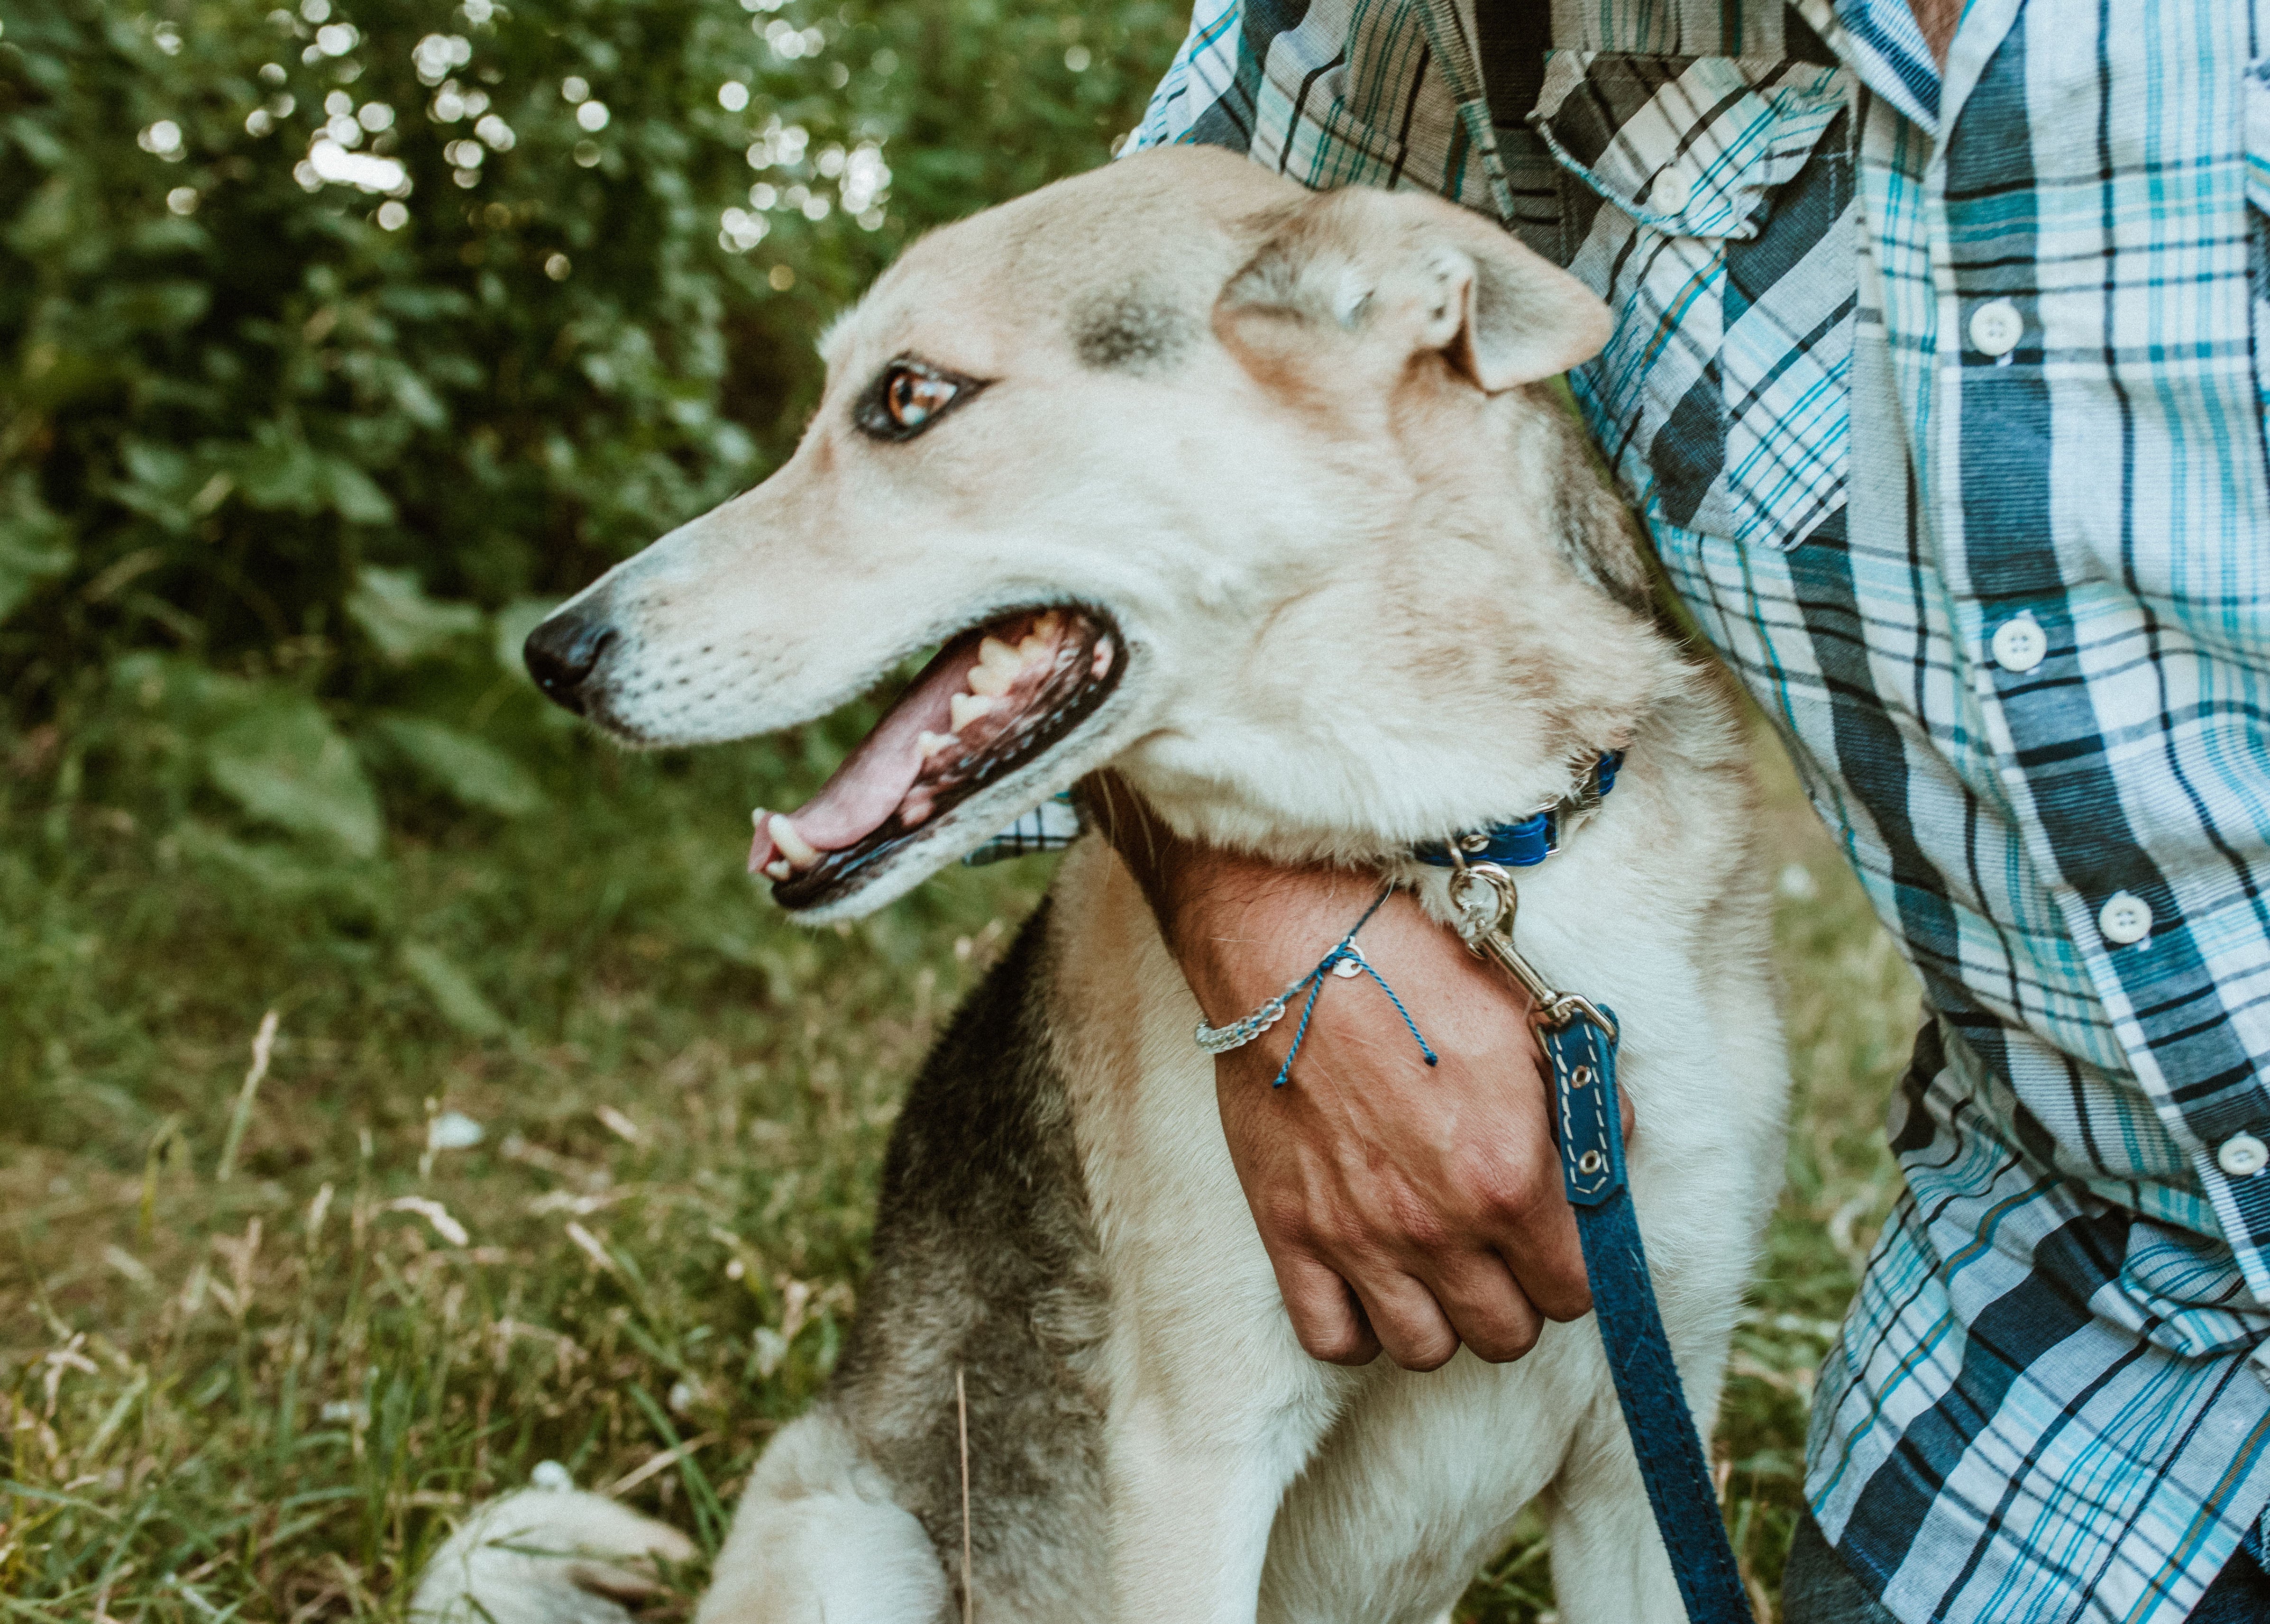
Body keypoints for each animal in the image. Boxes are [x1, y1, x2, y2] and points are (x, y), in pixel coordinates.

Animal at [417, 148, 1779, 1624]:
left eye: (908, 399)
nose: (556, 653)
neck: (1464, 851)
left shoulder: (1645, 1465)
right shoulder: (1198, 1459)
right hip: (857, 1543)